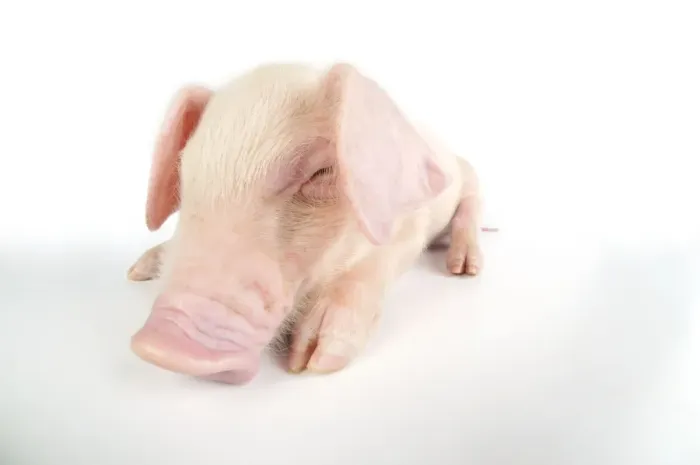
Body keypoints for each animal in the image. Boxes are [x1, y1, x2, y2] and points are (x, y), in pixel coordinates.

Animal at [126, 62, 489, 385]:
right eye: (185, 169)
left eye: (321, 172)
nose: (162, 345)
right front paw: (138, 272)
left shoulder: (410, 226)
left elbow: (370, 268)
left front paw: (311, 363)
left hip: (468, 177)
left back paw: (463, 268)